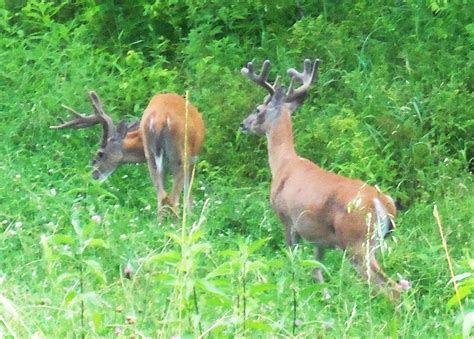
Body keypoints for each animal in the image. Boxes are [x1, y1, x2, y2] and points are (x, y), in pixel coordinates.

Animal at [51, 91, 204, 216]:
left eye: (100, 153)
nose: (92, 176)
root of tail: (160, 120)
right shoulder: (192, 160)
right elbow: (189, 195)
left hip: (154, 158)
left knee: (162, 196)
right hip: (179, 156)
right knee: (172, 198)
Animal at [241, 59, 404, 302]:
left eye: (258, 108)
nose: (243, 124)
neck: (283, 164)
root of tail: (381, 202)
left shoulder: (287, 218)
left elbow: (293, 260)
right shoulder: (321, 238)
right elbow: (317, 270)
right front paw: (325, 297)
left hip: (357, 242)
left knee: (390, 288)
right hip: (371, 243)